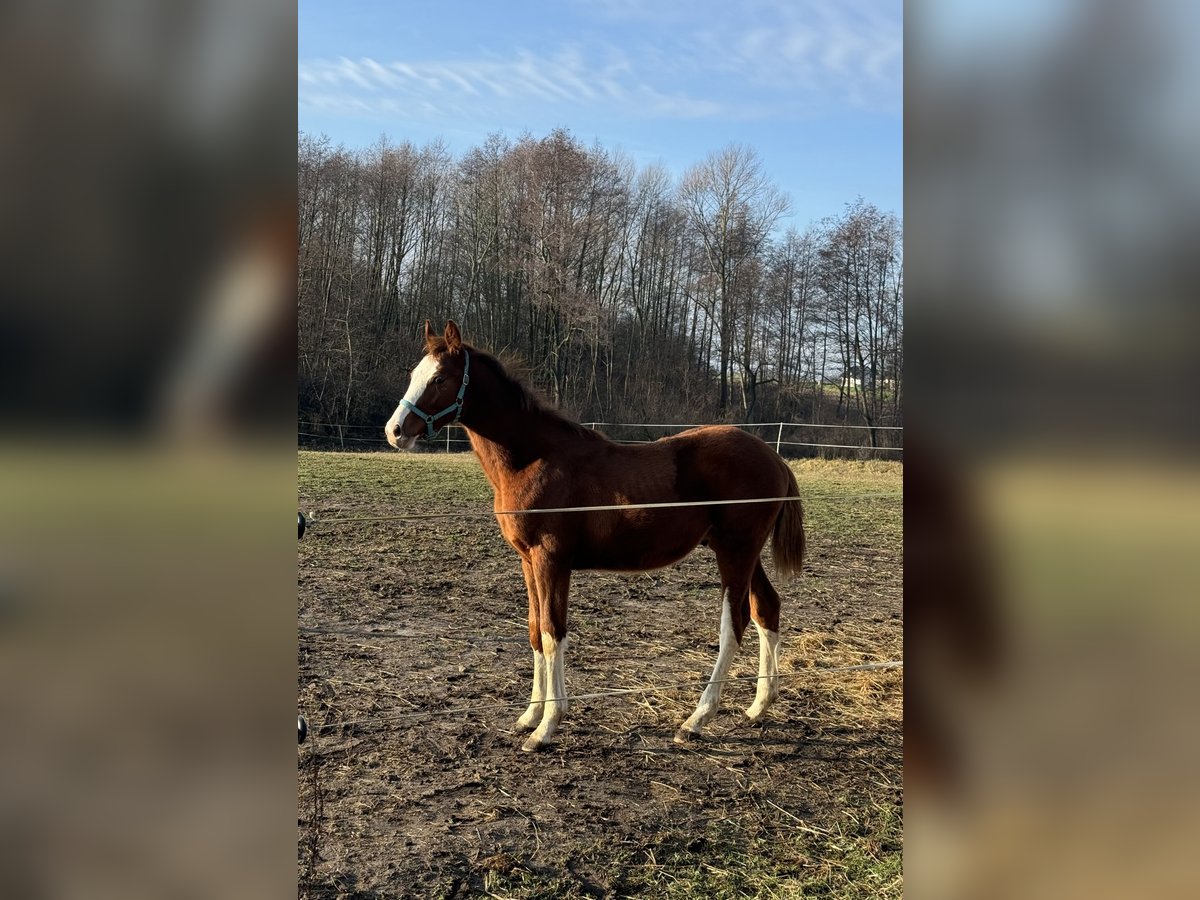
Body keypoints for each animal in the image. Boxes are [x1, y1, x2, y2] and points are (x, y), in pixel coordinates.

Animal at [386, 324, 806, 753]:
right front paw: (529, 716)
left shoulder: (552, 560)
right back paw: (757, 708)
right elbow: (535, 630)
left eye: (440, 378)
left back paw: (695, 721)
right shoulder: (527, 560)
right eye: (414, 374)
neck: (534, 460)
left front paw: (546, 727)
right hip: (742, 552)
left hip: (735, 552)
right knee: (766, 609)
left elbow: (553, 633)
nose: (395, 431)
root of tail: (774, 458)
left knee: (733, 623)